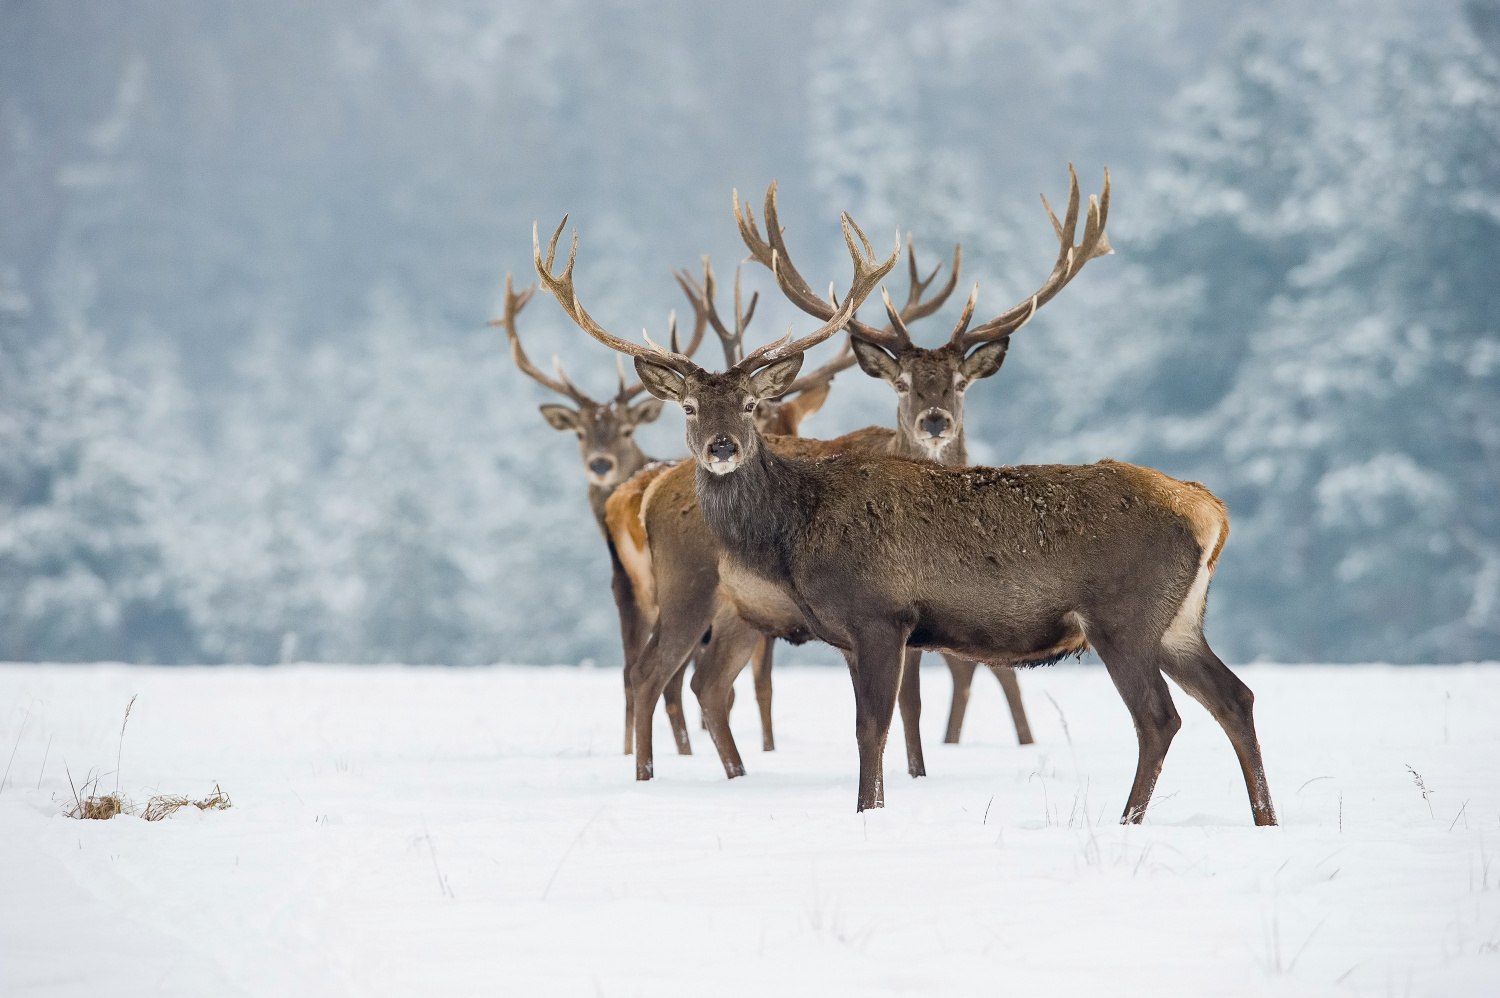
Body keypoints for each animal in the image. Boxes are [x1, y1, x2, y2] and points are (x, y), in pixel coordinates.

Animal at [540, 171, 1278, 822]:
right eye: (691, 407)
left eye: (749, 404)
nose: (722, 447)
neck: (795, 533)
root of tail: (1209, 509)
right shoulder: (857, 631)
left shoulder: (880, 614)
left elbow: (874, 727)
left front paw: (867, 812)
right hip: (1180, 619)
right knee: (1236, 697)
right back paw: (1262, 818)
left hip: (1125, 615)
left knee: (1160, 718)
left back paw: (1130, 819)